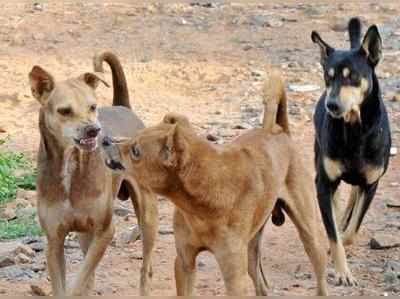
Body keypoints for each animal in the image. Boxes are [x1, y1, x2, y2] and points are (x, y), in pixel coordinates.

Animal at [30, 52, 158, 296]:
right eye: (64, 111)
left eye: (92, 106)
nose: (94, 130)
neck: (71, 166)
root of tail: (122, 106)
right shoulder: (54, 240)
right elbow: (68, 285)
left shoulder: (105, 231)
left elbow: (79, 282)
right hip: (84, 232)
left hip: (147, 216)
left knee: (145, 267)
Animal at [107, 71, 328, 296]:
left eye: (135, 151)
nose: (107, 141)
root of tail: (281, 131)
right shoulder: (184, 262)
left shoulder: (234, 276)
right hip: (251, 252)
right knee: (261, 284)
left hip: (310, 235)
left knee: (320, 276)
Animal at [312, 17, 390, 288]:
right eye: (328, 77)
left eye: (352, 77)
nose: (332, 105)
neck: (355, 131)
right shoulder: (323, 182)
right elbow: (334, 234)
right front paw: (343, 271)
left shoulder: (372, 183)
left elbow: (350, 233)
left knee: (354, 195)